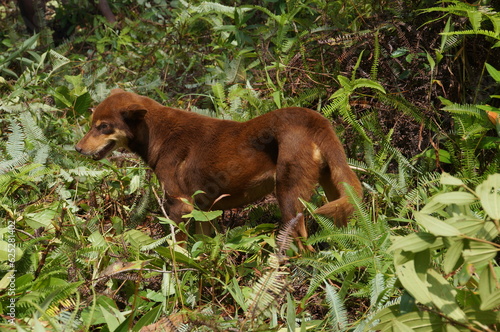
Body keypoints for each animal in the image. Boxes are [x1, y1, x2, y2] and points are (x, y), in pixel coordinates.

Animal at [76, 89, 362, 250]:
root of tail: (314, 119)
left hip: (289, 199)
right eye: (91, 124)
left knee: (304, 246)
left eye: (103, 127)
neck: (156, 133)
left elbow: (177, 248)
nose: (77, 148)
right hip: (335, 190)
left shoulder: (180, 205)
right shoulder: (203, 210)